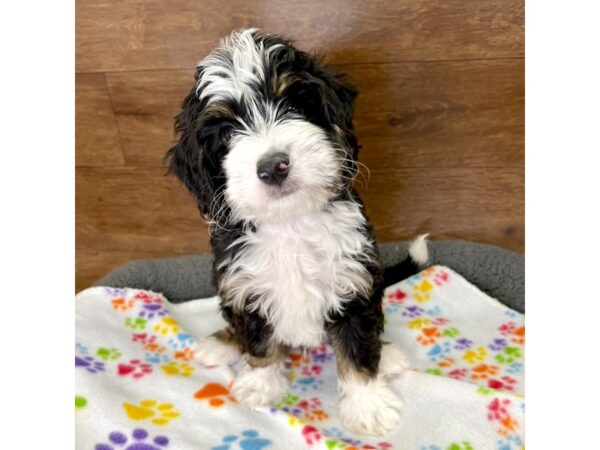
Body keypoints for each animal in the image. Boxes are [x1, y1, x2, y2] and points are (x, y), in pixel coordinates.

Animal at [166, 29, 428, 436]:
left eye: (292, 106)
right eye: (227, 132)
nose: (274, 166)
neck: (289, 220)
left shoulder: (353, 282)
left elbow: (357, 348)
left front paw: (366, 405)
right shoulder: (244, 287)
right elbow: (258, 342)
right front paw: (262, 383)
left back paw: (389, 356)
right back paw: (221, 343)